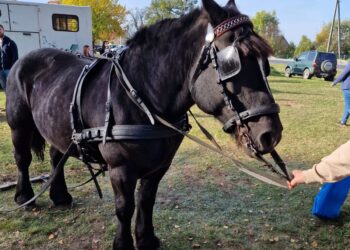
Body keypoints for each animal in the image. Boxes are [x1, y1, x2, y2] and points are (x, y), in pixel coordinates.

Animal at [5, 0, 284, 249]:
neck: (142, 99)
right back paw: (25, 197)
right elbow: (124, 208)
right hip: (19, 125)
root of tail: (24, 59)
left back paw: (60, 196)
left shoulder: (159, 166)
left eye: (266, 65)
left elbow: (146, 200)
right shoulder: (120, 169)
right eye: (233, 65)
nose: (271, 134)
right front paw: (123, 244)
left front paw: (146, 239)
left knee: (56, 156)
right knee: (22, 159)